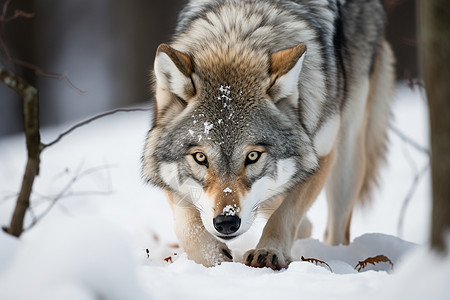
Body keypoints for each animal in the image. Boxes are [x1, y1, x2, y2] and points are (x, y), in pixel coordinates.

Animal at [142, 0, 394, 270]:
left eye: (252, 156)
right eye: (200, 158)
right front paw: (212, 258)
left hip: (345, 159)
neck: (238, 33)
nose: (226, 223)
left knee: (333, 231)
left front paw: (269, 251)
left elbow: (285, 214)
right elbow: (186, 225)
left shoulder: (320, 157)